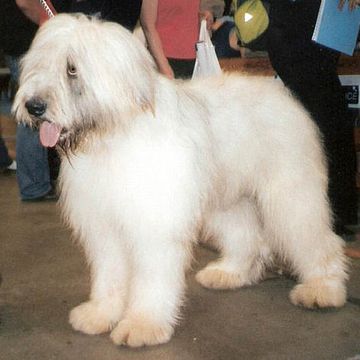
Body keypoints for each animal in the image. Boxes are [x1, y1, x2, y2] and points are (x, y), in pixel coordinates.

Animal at [12, 14, 348, 348]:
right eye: (38, 65)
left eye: (72, 68)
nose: (33, 106)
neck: (114, 134)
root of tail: (280, 93)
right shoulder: (105, 225)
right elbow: (110, 273)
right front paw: (100, 313)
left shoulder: (154, 225)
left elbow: (151, 278)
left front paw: (143, 324)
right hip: (227, 197)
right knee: (248, 237)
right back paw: (230, 273)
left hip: (290, 194)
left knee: (318, 240)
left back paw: (324, 289)